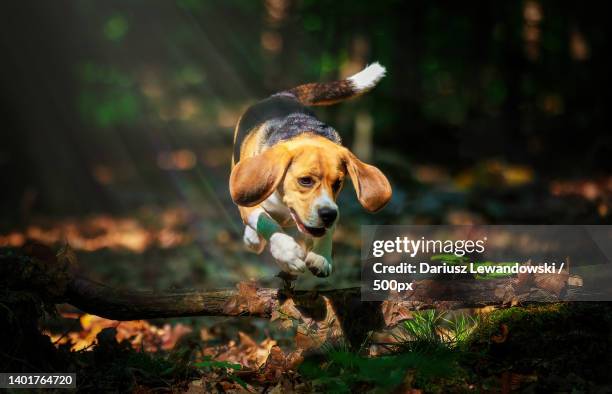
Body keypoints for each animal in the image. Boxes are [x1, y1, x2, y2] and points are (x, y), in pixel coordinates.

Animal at [230, 62, 392, 278]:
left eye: (338, 183)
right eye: (305, 180)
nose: (327, 215)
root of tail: (283, 95)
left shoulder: (332, 206)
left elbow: (328, 228)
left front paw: (322, 257)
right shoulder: (248, 205)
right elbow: (266, 221)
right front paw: (287, 252)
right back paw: (254, 239)